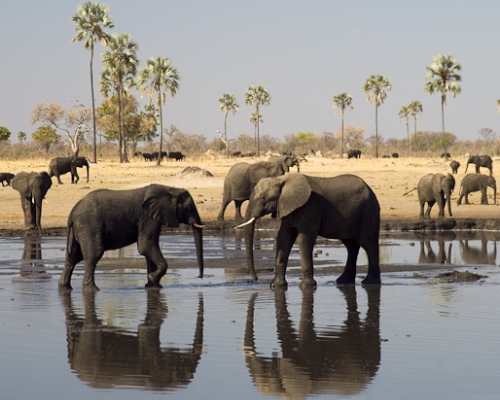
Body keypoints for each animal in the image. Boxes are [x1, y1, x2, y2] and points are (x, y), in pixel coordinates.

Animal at [59, 184, 204, 290]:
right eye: (189, 207)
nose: (200, 277)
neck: (170, 189)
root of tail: (72, 211)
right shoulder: (147, 217)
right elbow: (146, 246)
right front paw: (152, 279)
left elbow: (148, 248)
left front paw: (152, 286)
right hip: (89, 226)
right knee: (93, 255)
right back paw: (92, 289)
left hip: (79, 230)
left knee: (73, 257)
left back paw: (65, 287)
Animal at [236, 173, 380, 288]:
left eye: (262, 199)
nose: (256, 279)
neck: (281, 179)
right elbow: (283, 237)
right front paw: (277, 286)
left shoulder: (310, 206)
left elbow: (304, 238)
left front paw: (306, 286)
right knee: (351, 246)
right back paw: (343, 281)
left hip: (368, 212)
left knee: (368, 243)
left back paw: (370, 283)